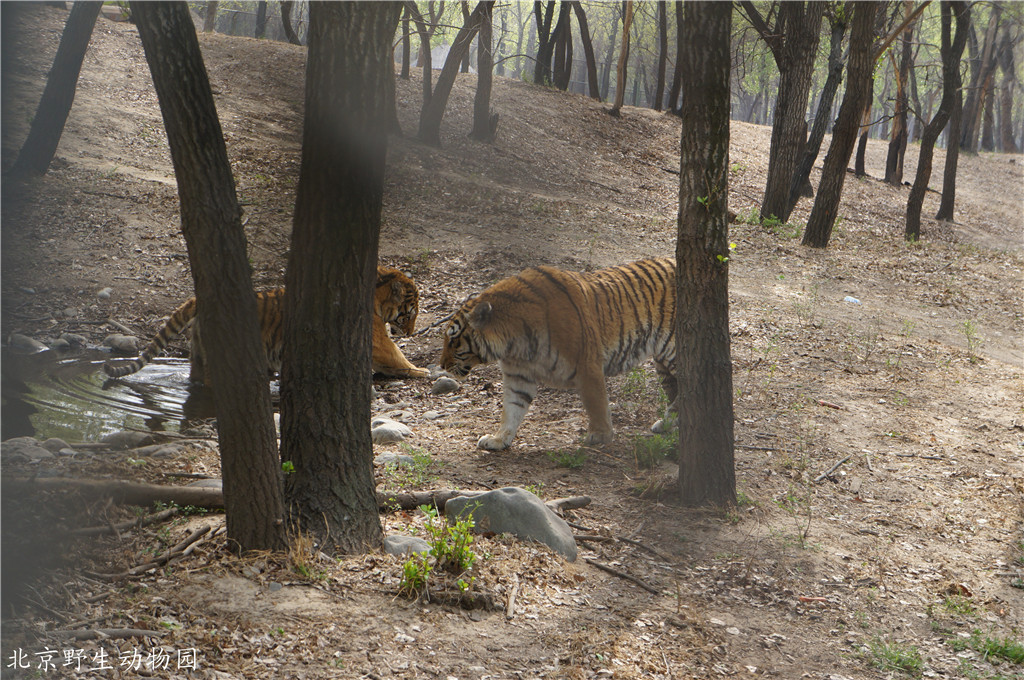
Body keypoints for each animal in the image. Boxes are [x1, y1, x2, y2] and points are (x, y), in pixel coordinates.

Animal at [101, 266, 425, 385]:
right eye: (409, 313)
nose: (411, 332)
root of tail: (198, 299)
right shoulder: (379, 343)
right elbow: (397, 357)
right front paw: (422, 370)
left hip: (199, 353)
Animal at [442, 258, 675, 448]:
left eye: (453, 340)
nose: (442, 366)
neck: (514, 343)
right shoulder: (518, 375)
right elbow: (511, 409)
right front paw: (499, 439)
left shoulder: (588, 365)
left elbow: (596, 403)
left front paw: (601, 436)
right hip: (663, 365)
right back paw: (667, 425)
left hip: (672, 352)